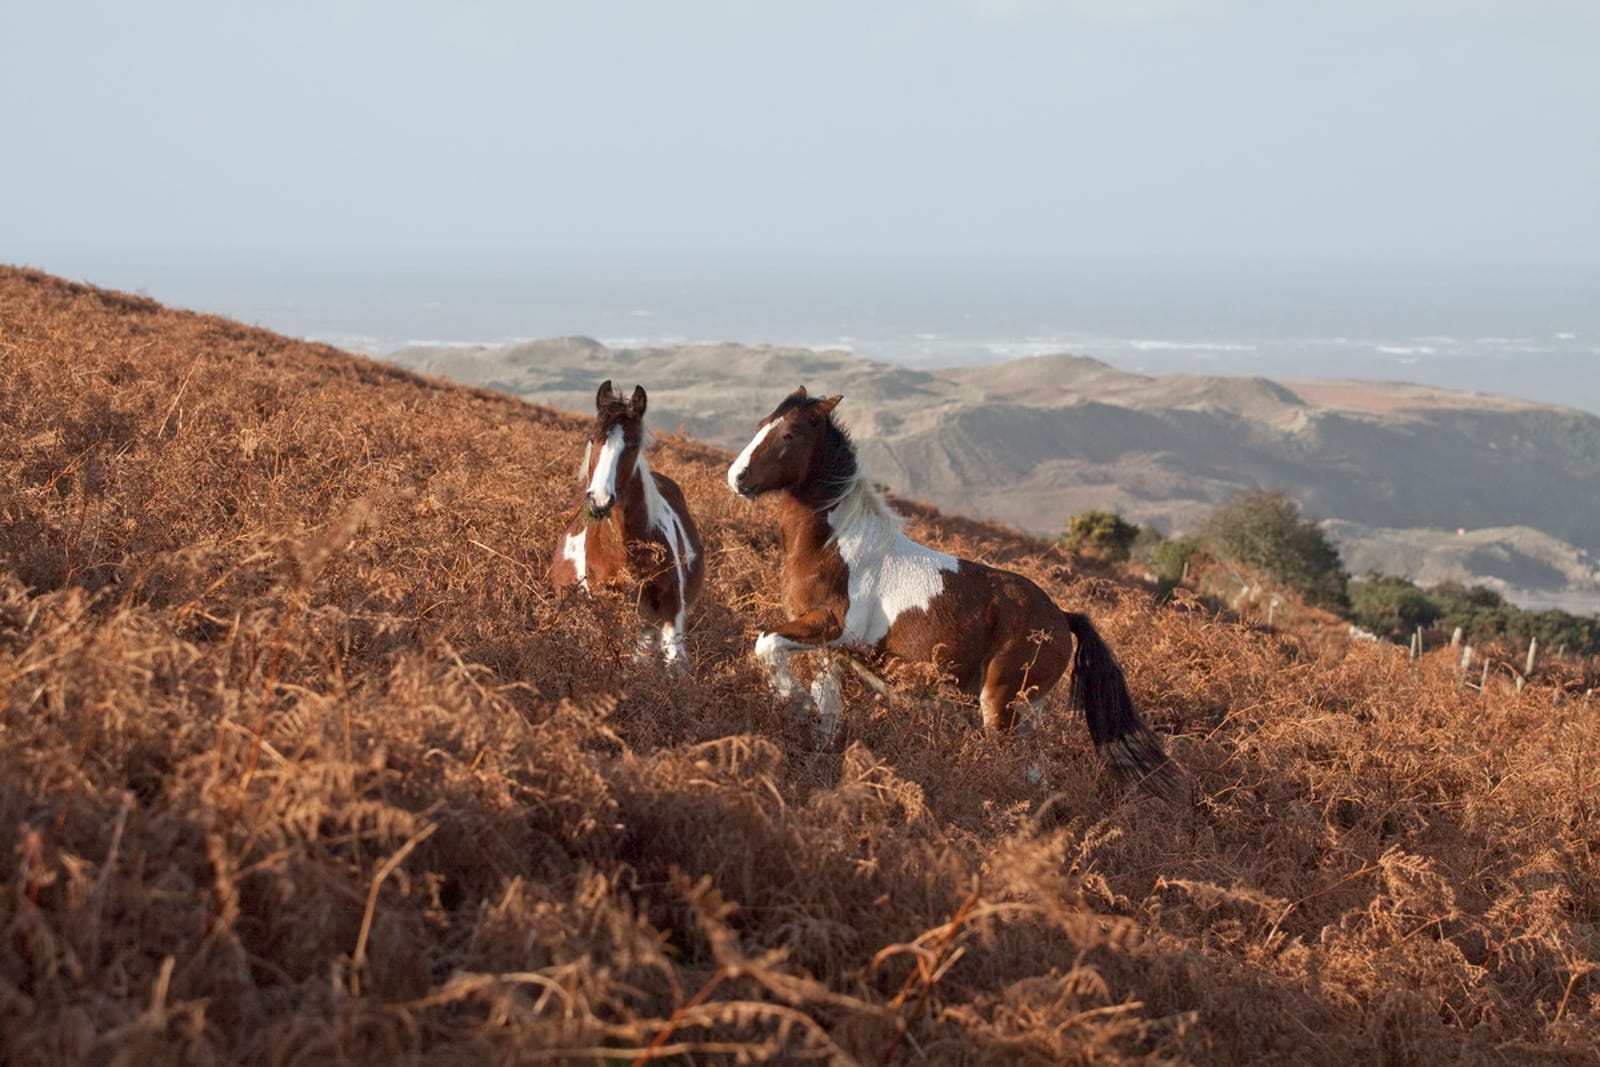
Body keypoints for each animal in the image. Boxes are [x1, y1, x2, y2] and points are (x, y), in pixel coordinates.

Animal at [552, 380, 705, 666]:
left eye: (633, 445)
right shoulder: (607, 607)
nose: (600, 500)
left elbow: (675, 662)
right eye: (593, 439)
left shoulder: (670, 609)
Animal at [726, 386, 1174, 795]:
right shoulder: (830, 649)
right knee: (1038, 773)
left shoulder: (831, 628)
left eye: (791, 433)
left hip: (1003, 705)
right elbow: (827, 709)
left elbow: (766, 643)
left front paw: (795, 702)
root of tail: (1062, 618)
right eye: (761, 424)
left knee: (1018, 765)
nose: (737, 478)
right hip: (1026, 712)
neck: (836, 545)